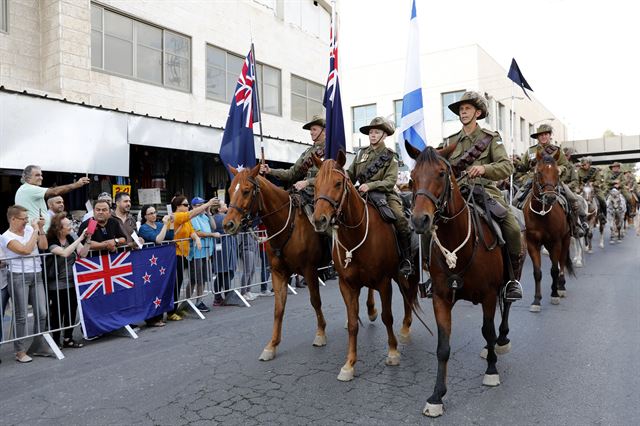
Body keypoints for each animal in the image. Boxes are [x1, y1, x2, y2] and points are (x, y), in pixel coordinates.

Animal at [222, 165, 378, 362]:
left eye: (246, 191)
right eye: (229, 191)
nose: (228, 225)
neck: (288, 224)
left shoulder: (309, 270)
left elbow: (315, 301)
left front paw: (320, 334)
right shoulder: (278, 272)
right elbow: (278, 308)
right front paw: (272, 345)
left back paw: (371, 311)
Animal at [312, 152, 420, 382]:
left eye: (337, 183)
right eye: (315, 184)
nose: (319, 220)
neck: (356, 233)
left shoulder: (384, 282)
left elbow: (387, 317)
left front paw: (393, 352)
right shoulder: (347, 285)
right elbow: (353, 324)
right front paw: (349, 365)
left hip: (408, 272)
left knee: (409, 294)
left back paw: (405, 328)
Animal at [408, 145, 516, 418]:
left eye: (441, 173)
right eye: (412, 177)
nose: (419, 220)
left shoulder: (488, 295)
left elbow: (487, 330)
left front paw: (491, 371)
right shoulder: (441, 298)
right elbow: (443, 347)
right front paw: (437, 395)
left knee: (506, 307)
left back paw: (501, 341)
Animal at [524, 151, 576, 312]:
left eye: (557, 173)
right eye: (539, 172)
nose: (550, 197)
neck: (542, 214)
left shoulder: (556, 242)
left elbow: (554, 269)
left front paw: (554, 294)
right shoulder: (532, 243)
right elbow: (537, 272)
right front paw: (536, 300)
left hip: (565, 240)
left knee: (561, 262)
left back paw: (561, 286)